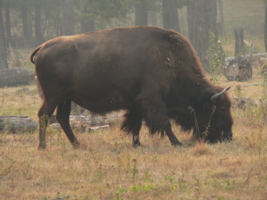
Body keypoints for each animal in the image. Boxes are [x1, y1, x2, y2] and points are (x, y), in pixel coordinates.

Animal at [30, 25, 233, 149]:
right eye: (221, 110)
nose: (228, 136)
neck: (170, 59)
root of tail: (42, 47)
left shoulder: (137, 101)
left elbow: (136, 123)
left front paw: (137, 144)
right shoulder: (152, 98)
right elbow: (164, 122)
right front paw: (176, 142)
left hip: (65, 98)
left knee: (62, 119)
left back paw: (79, 145)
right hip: (53, 97)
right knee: (44, 116)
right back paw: (43, 146)